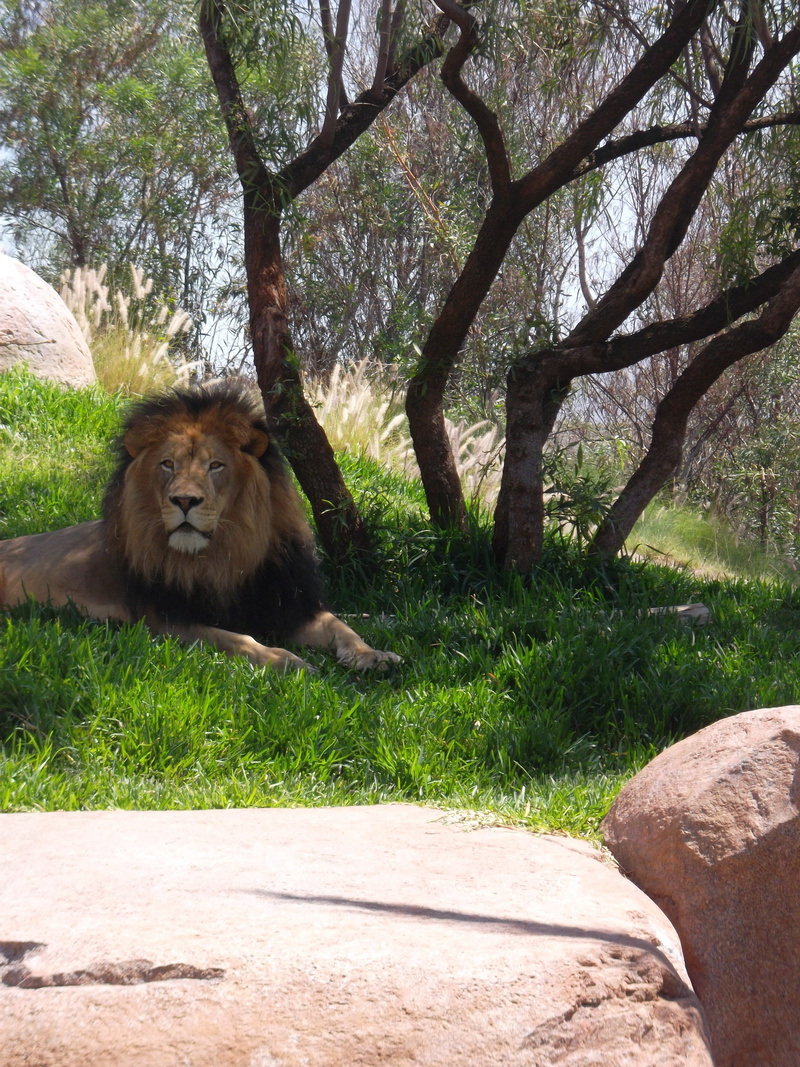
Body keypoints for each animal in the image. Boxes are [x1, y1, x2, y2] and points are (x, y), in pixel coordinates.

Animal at [0, 381, 401, 672]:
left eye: (215, 466)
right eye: (167, 464)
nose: (184, 500)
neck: (225, 554)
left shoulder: (288, 602)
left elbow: (340, 626)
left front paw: (373, 654)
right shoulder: (165, 619)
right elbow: (237, 639)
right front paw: (283, 659)